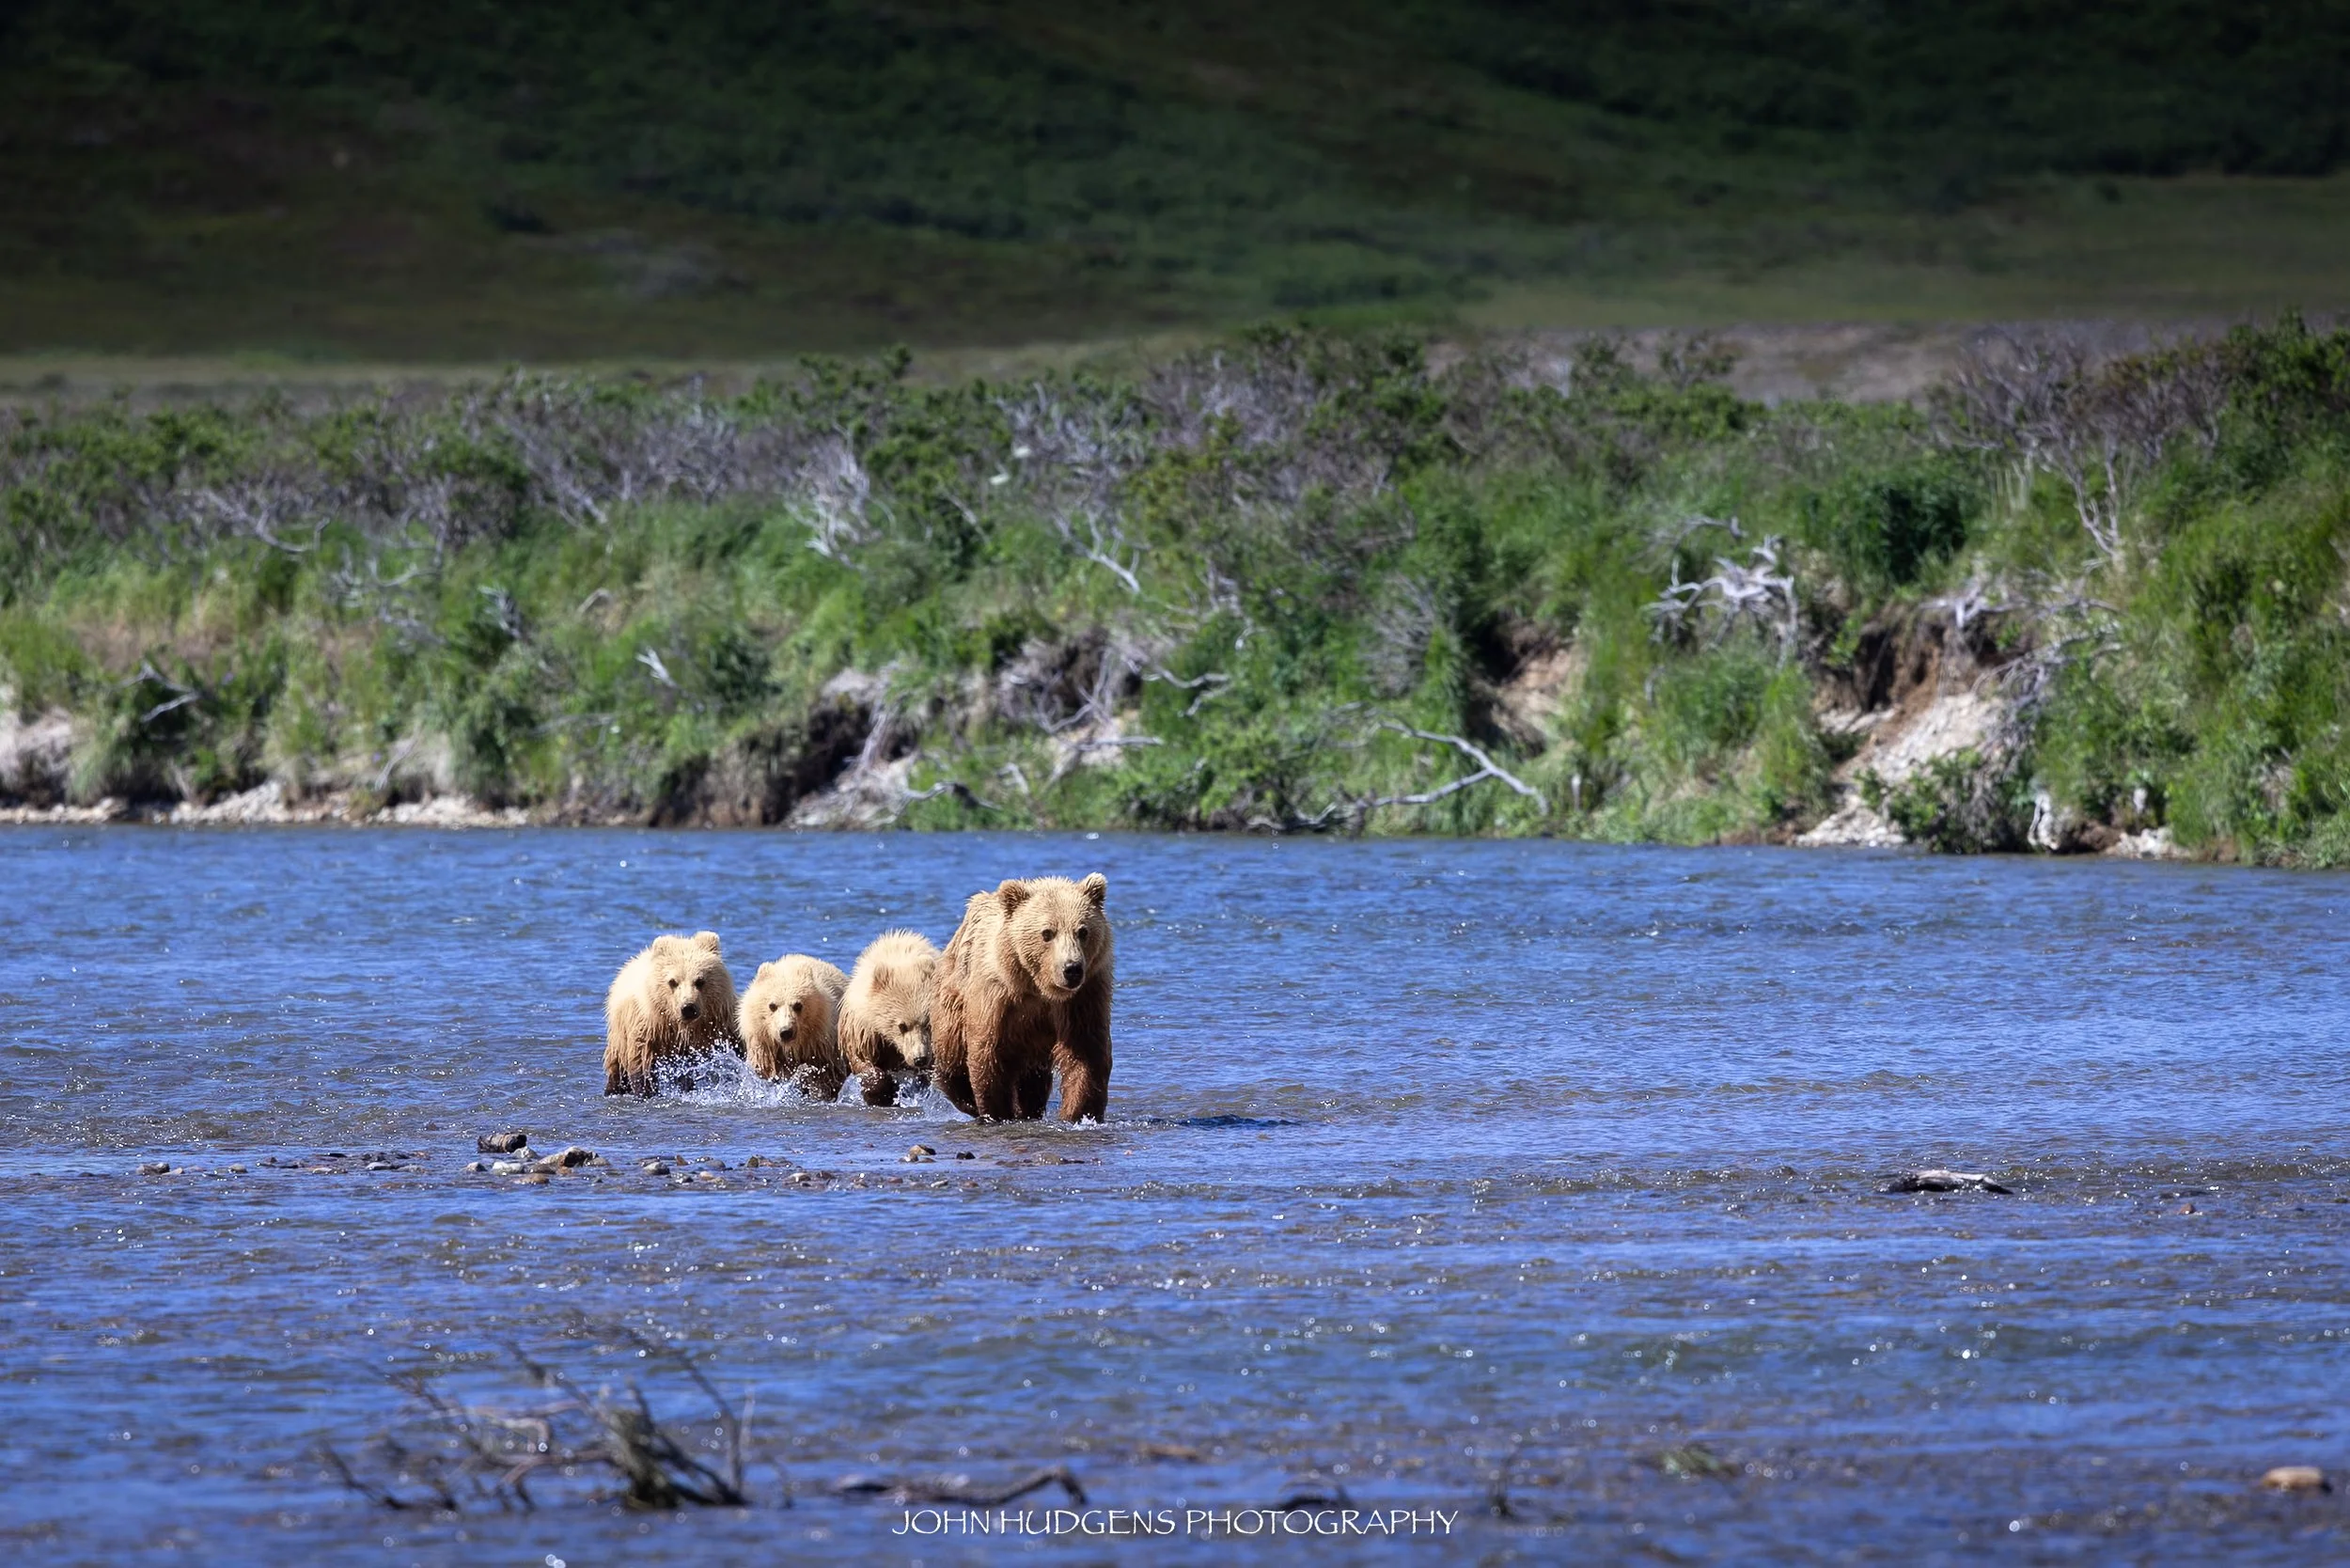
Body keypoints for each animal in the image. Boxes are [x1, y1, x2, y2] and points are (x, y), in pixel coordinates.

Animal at [603, 931, 740, 1097]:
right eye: (673, 981)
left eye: (700, 981)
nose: (688, 1008)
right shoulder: (648, 1027)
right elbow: (641, 1061)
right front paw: (646, 1091)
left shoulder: (719, 1020)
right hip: (619, 1033)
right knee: (617, 1066)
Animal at [738, 954, 851, 1099]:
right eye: (772, 1005)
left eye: (798, 1005)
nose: (786, 1032)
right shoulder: (763, 1044)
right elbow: (765, 1071)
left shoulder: (819, 1044)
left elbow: (825, 1075)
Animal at [837, 930, 940, 1107]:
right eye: (902, 1025)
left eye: (928, 1023)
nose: (920, 1058)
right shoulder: (864, 1030)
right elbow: (862, 1060)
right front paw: (881, 1093)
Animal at [930, 873, 1113, 1122]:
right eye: (1047, 932)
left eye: (1082, 931)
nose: (1072, 968)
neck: (1039, 987)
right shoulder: (998, 997)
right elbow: (989, 1053)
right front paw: (996, 1112)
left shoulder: (1084, 996)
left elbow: (1086, 1053)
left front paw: (1079, 1113)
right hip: (953, 998)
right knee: (952, 1059)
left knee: (1033, 1079)